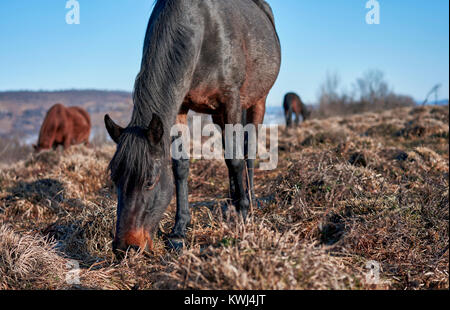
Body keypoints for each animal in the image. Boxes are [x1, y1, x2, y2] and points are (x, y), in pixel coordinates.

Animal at [105, 0, 282, 254]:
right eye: (115, 179)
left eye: (149, 181)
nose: (125, 247)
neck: (202, 29)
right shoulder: (181, 106)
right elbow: (181, 165)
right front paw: (179, 229)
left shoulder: (232, 101)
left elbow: (236, 159)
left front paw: (243, 214)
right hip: (218, 115)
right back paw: (231, 202)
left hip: (258, 101)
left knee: (248, 150)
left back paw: (248, 200)